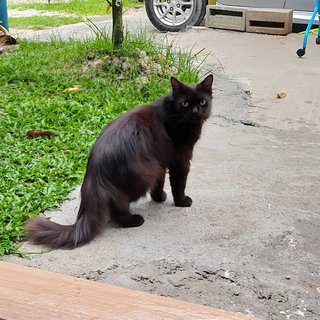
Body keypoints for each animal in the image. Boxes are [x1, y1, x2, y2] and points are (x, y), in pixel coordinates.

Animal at [26, 74, 212, 249]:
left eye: (202, 102)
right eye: (185, 104)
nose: (196, 111)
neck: (172, 111)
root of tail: (93, 178)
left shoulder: (161, 159)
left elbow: (160, 183)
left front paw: (159, 197)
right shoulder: (179, 159)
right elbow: (178, 183)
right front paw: (182, 201)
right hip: (144, 174)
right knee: (117, 209)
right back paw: (134, 220)